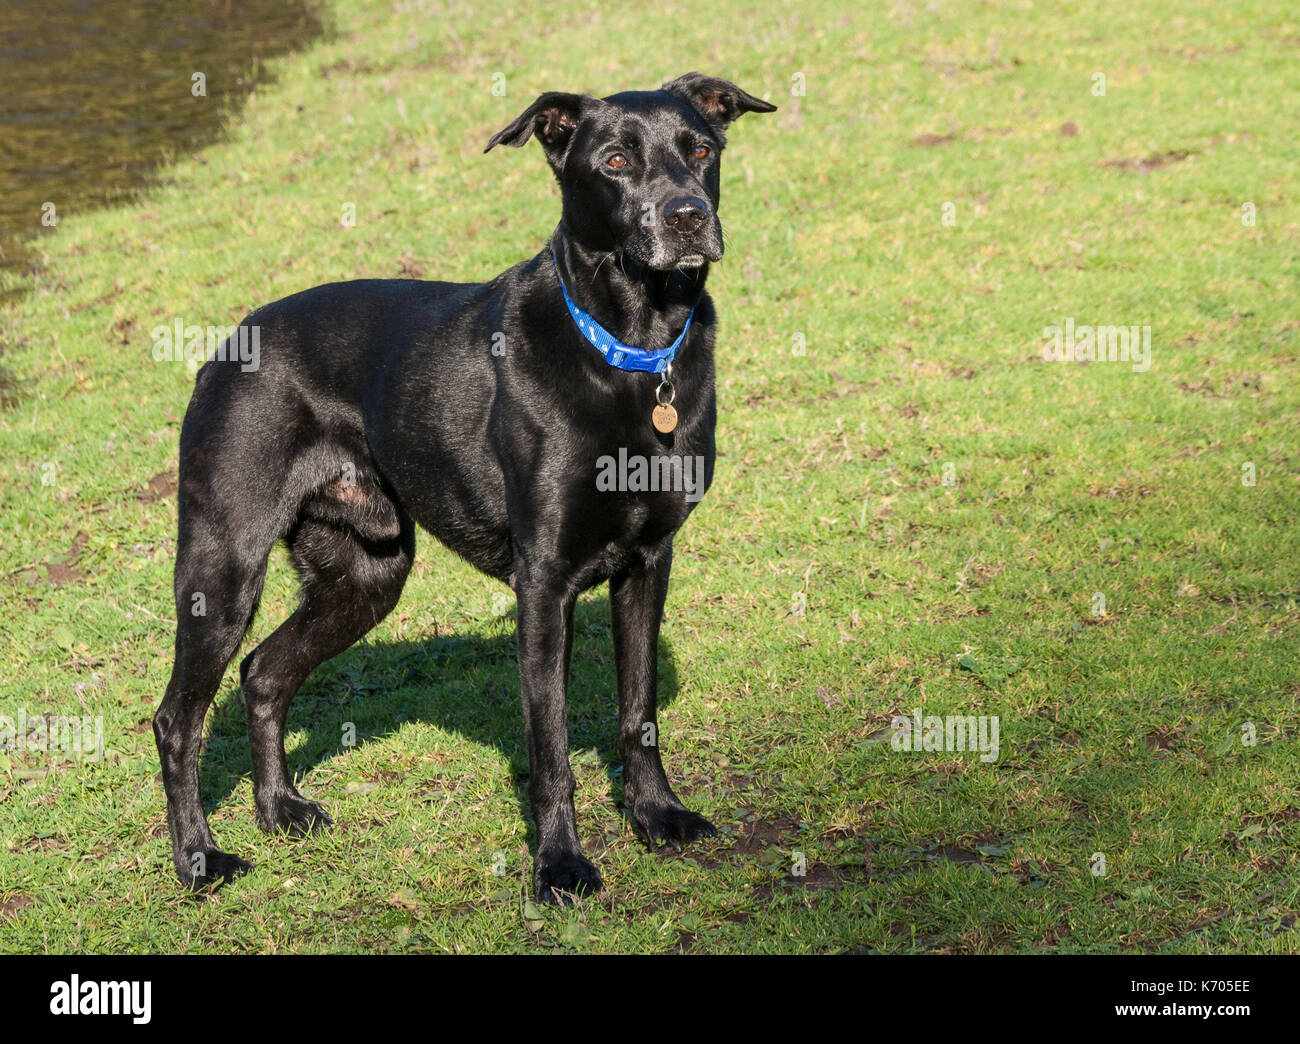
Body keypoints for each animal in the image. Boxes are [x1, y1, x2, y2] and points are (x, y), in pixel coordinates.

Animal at [157, 75, 774, 904]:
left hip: (366, 573)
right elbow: (549, 749)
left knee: (263, 673)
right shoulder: (544, 584)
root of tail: (224, 348)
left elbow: (638, 712)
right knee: (177, 719)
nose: (686, 216)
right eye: (615, 160)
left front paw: (658, 816)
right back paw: (199, 859)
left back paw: (280, 809)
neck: (633, 350)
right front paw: (560, 866)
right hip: (223, 566)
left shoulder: (648, 563)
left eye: (701, 150)